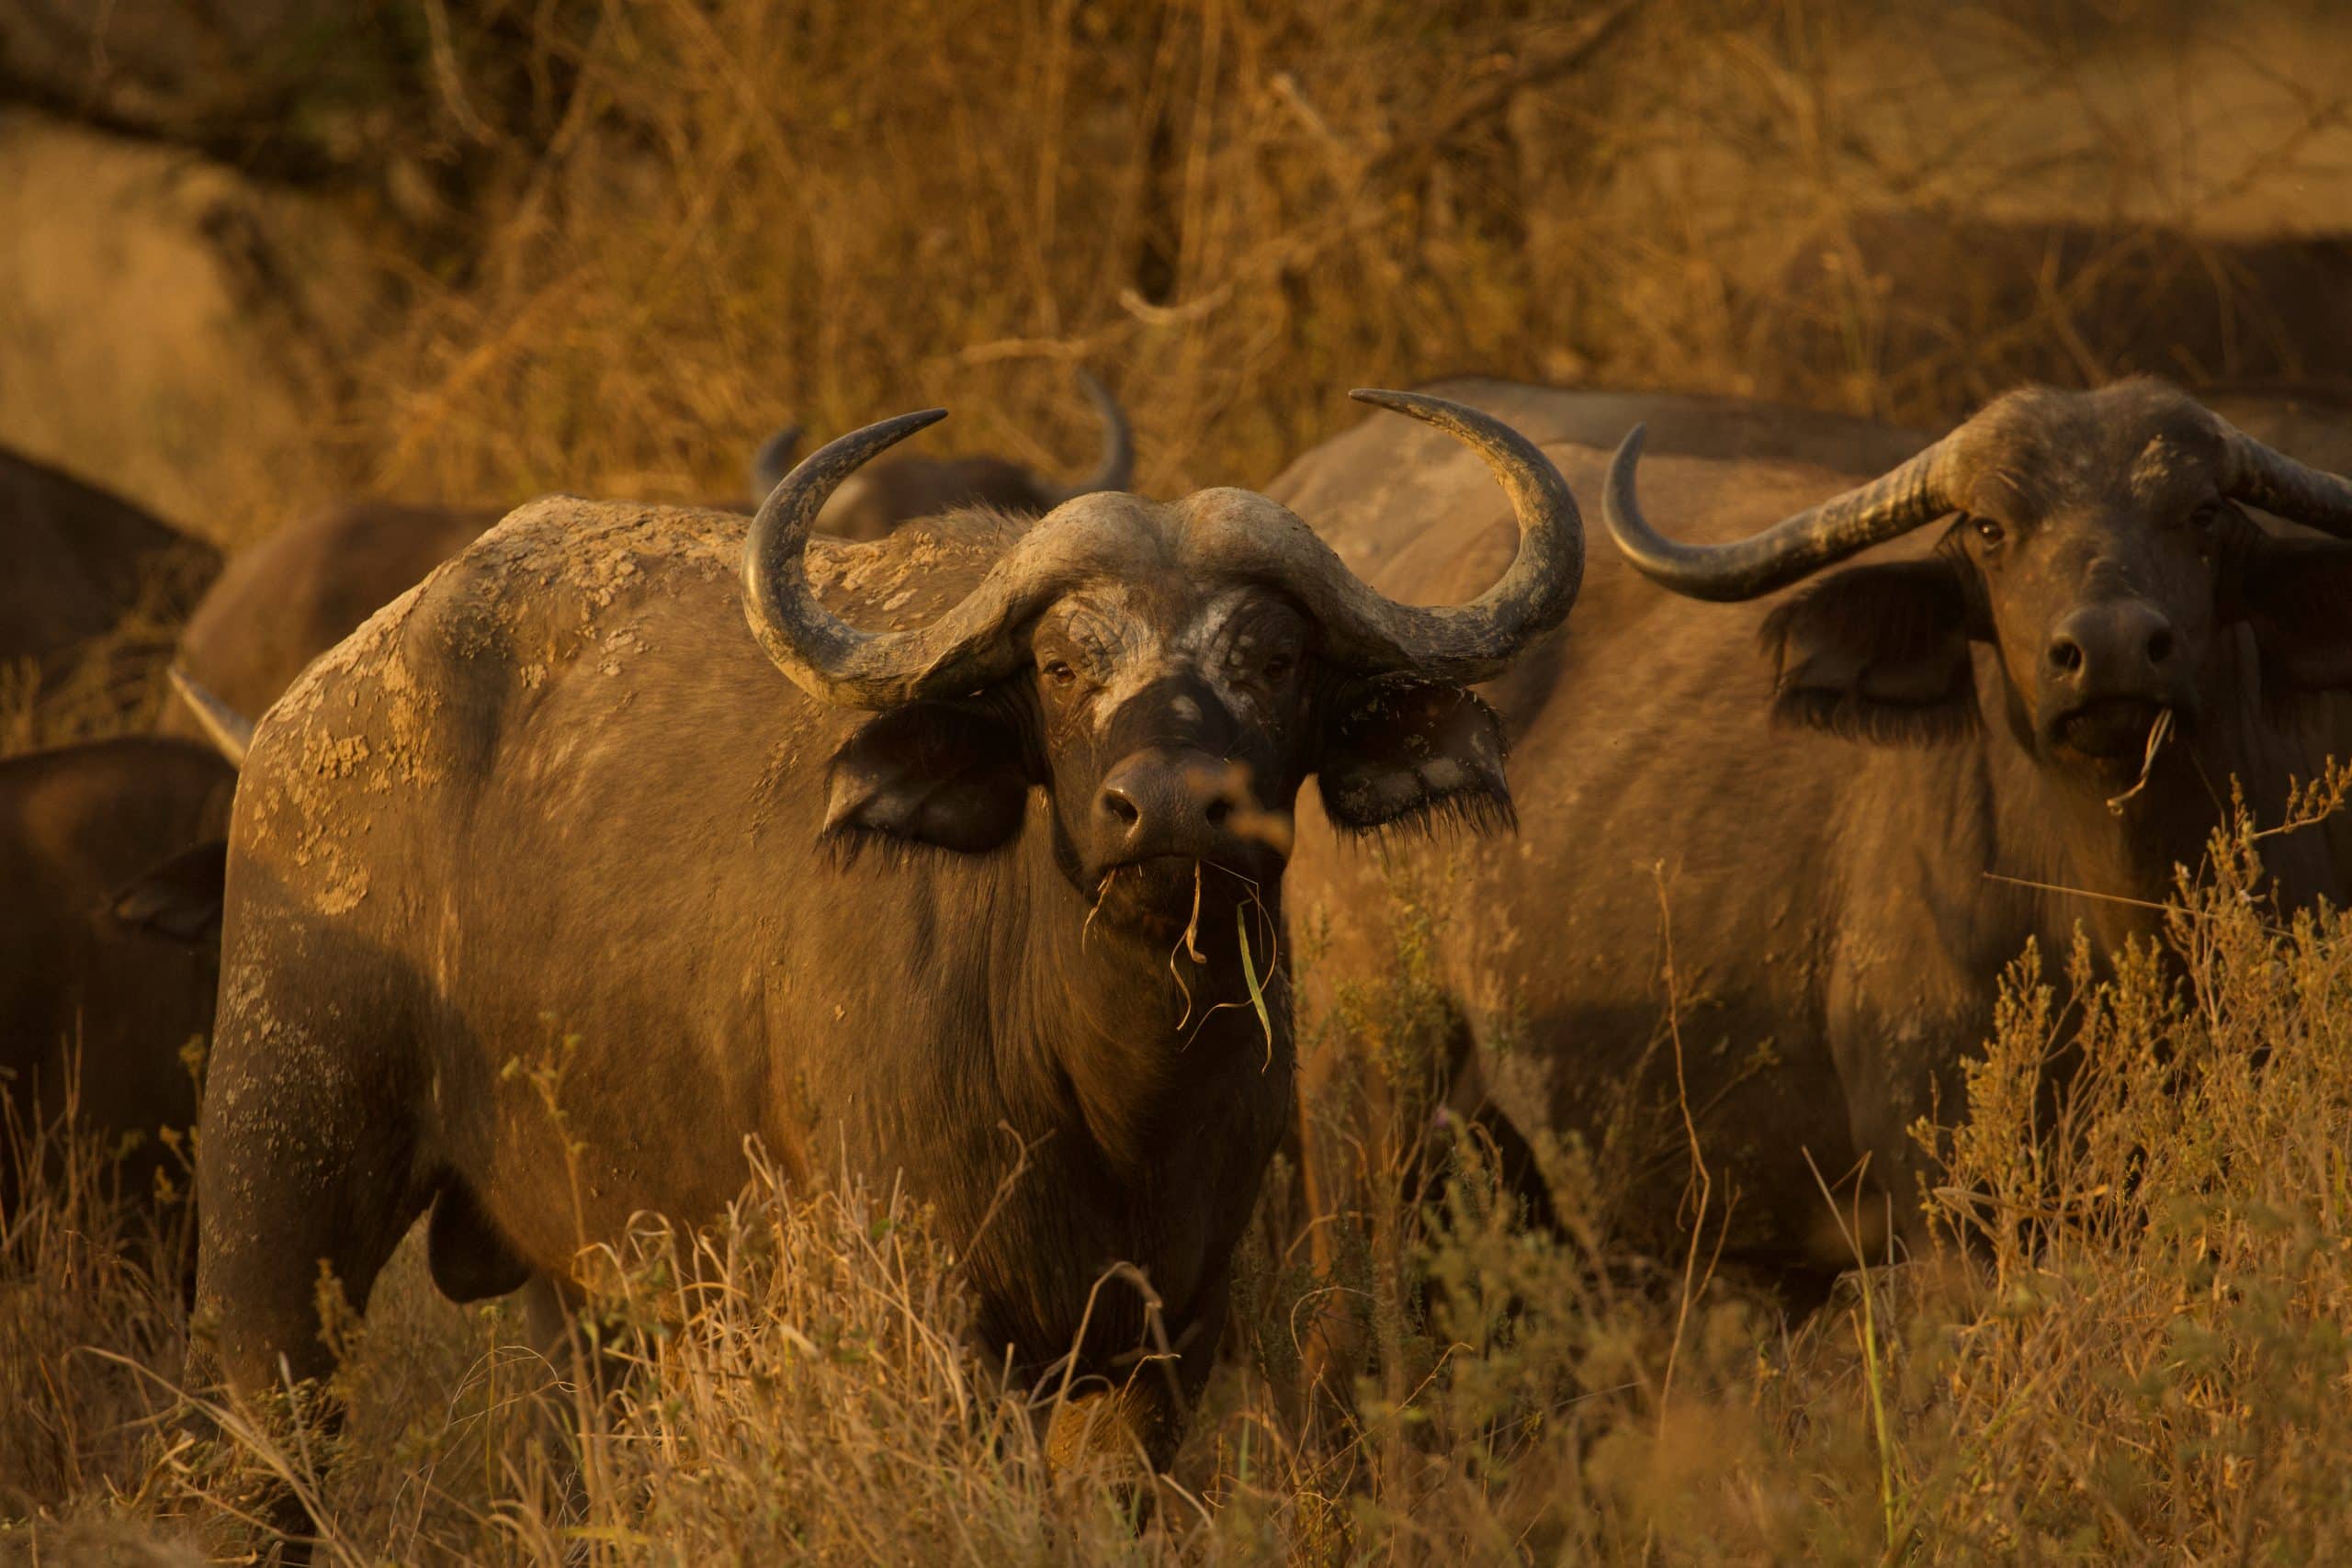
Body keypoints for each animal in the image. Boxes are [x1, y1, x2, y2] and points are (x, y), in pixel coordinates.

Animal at [194, 391, 1580, 1491]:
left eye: (1276, 656)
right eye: (1064, 664)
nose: (1174, 807)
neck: (1111, 1085)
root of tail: (296, 720)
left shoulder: (1161, 1343)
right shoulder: (930, 1328)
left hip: (593, 1295)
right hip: (277, 1206)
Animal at [1281, 377, 2352, 1276]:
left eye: (2202, 515)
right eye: (1990, 527)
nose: (2113, 649)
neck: (2117, 920)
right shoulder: (1948, 1211)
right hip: (1361, 1104)